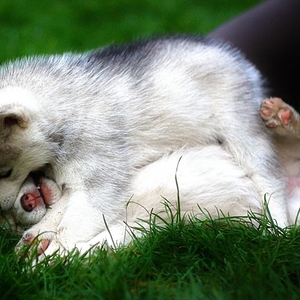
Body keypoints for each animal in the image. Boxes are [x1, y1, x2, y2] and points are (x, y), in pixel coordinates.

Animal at [0, 35, 288, 258]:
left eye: (4, 172)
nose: (13, 204)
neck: (64, 106)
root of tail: (235, 58)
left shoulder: (100, 174)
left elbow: (76, 221)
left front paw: (55, 252)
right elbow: (60, 209)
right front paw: (38, 234)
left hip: (241, 129)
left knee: (268, 180)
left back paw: (277, 228)